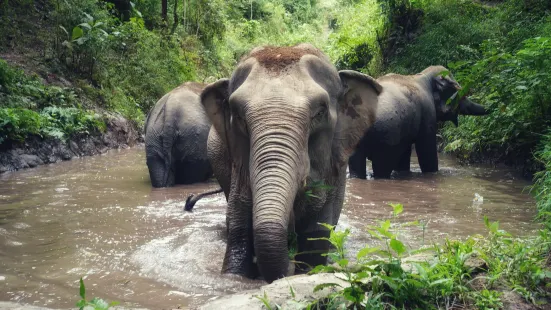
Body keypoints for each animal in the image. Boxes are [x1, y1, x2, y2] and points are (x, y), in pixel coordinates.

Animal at [350, 66, 488, 180]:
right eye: (458, 92)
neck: (423, 75)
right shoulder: (428, 113)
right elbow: (426, 150)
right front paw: (433, 173)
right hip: (386, 136)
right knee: (382, 166)